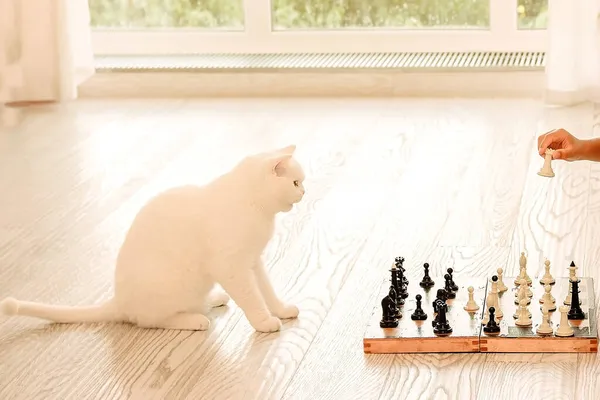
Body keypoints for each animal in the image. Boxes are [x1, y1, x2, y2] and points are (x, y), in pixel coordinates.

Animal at [1, 144, 304, 332]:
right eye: (295, 183)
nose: (304, 192)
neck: (255, 206)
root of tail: (119, 301)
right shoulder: (232, 268)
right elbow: (252, 298)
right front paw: (264, 322)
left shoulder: (253, 262)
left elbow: (266, 291)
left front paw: (280, 310)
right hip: (169, 291)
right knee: (150, 321)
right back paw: (194, 320)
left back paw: (214, 298)